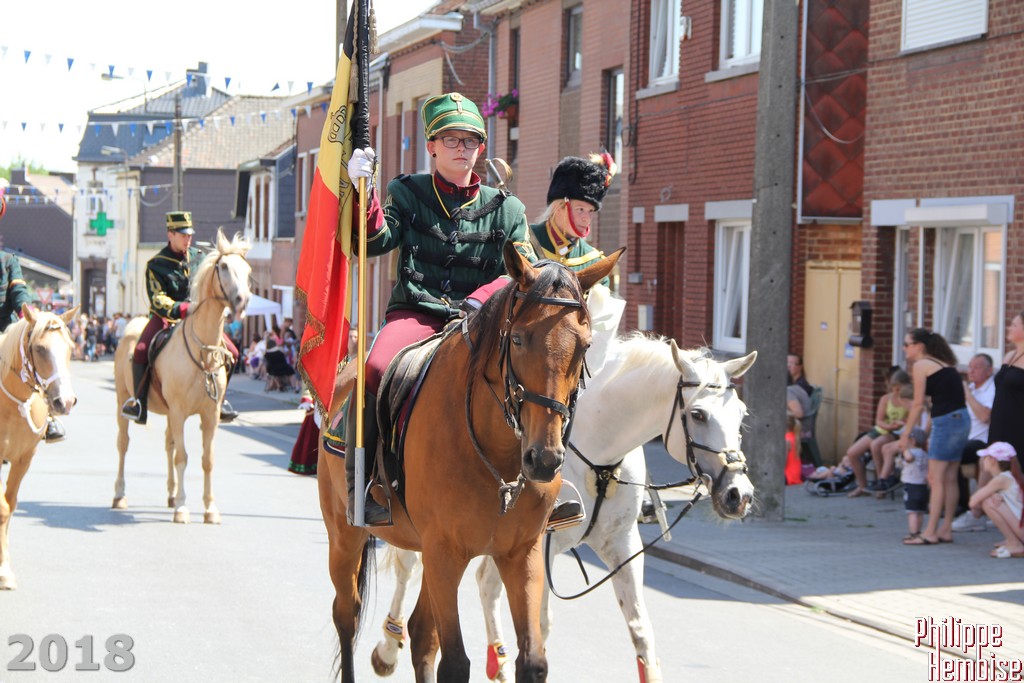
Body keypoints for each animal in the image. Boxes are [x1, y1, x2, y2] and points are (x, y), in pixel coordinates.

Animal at [0, 305, 79, 590]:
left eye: (71, 346)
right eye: (40, 348)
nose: (64, 402)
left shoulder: (24, 459)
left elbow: (10, 506)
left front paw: (4, 568)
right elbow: (2, 507)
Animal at [112, 230, 251, 524]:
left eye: (247, 270)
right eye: (223, 266)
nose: (242, 301)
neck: (203, 352)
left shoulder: (210, 415)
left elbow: (206, 459)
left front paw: (210, 509)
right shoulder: (178, 411)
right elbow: (182, 457)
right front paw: (183, 508)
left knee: (169, 444)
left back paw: (171, 494)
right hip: (123, 400)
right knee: (123, 445)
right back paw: (120, 494)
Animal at [318, 242, 621, 683]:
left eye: (584, 345)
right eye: (518, 339)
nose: (544, 459)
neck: (499, 459)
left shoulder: (520, 554)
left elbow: (532, 660)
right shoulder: (445, 552)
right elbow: (456, 663)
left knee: (420, 633)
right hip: (345, 535)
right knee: (347, 614)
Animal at [370, 334, 758, 682]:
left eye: (741, 413)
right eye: (698, 414)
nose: (739, 494)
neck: (601, 454)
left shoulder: (622, 544)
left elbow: (640, 629)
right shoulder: (543, 546)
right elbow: (541, 624)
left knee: (485, 584)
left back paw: (498, 659)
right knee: (408, 568)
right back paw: (388, 647)